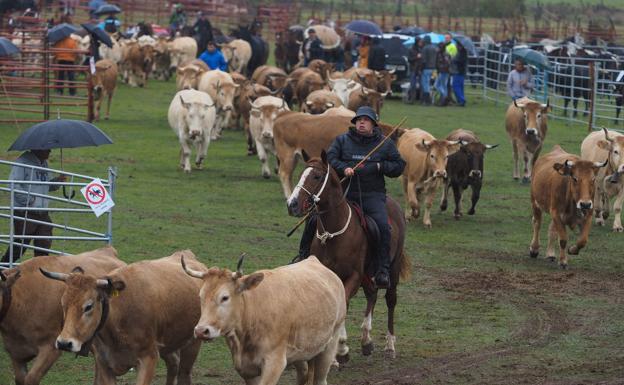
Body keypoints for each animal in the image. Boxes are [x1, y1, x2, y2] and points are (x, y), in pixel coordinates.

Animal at [39, 249, 205, 384]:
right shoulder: (104, 364)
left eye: (88, 306)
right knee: (173, 364)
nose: (64, 343)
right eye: (63, 304)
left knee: (183, 374)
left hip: (192, 344)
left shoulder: (149, 359)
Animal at [183, 254, 348, 384]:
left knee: (320, 379)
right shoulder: (247, 369)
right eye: (200, 297)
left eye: (225, 297)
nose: (201, 331)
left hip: (329, 345)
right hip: (301, 352)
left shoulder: (274, 364)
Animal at [286, 149, 412, 356]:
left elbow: (344, 301)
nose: (292, 204)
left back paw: (390, 344)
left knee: (390, 299)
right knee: (371, 294)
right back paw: (366, 340)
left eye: (317, 176)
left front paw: (341, 346)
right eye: (301, 174)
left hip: (391, 269)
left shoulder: (354, 275)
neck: (332, 233)